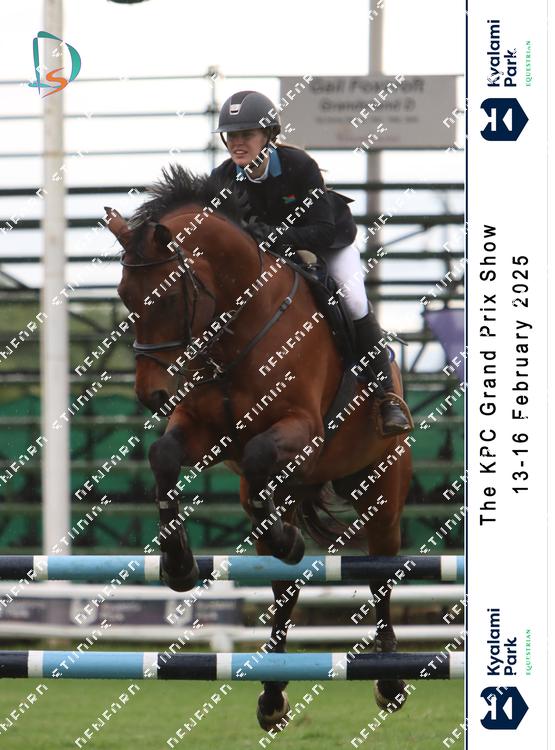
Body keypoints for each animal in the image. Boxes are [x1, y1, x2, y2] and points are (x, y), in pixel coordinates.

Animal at [106, 165, 413, 729]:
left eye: (168, 295)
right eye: (125, 295)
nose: (150, 395)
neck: (237, 324)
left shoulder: (303, 427)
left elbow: (258, 454)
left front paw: (287, 540)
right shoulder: (200, 429)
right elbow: (165, 458)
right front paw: (178, 565)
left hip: (382, 487)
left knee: (381, 576)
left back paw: (389, 679)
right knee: (280, 582)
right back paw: (272, 694)